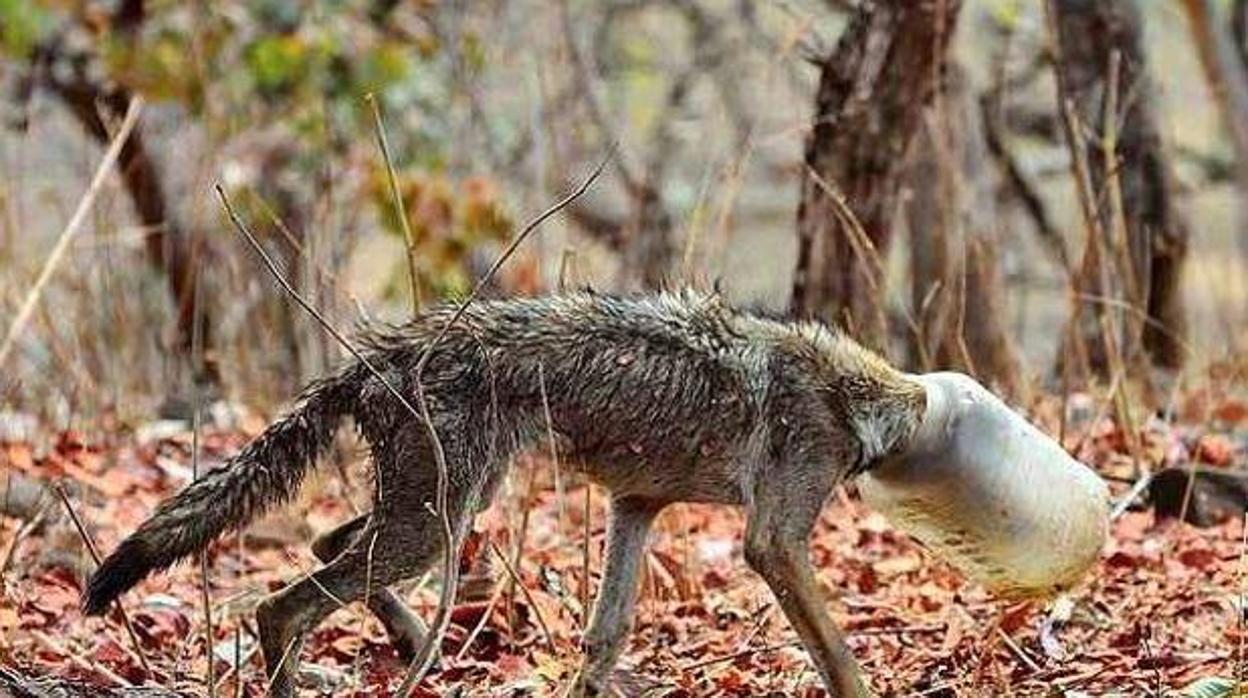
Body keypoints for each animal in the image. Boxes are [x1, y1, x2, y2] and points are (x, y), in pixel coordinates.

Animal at [85, 288, 928, 694]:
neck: (856, 396)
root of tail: (373, 356)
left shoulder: (634, 508)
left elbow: (604, 639)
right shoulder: (773, 544)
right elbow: (838, 655)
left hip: (446, 511)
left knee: (326, 546)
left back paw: (415, 643)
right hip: (434, 525)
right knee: (280, 605)